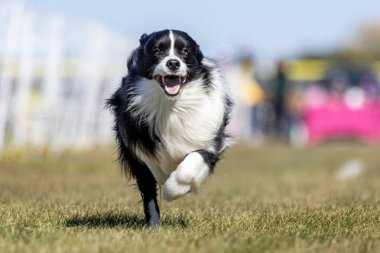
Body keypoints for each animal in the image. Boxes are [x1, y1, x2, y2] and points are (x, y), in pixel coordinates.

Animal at [107, 30, 232, 227]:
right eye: (157, 51)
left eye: (185, 51)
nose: (173, 63)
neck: (173, 105)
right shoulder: (138, 148)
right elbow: (153, 179)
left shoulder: (210, 144)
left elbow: (189, 166)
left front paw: (172, 190)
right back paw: (154, 225)